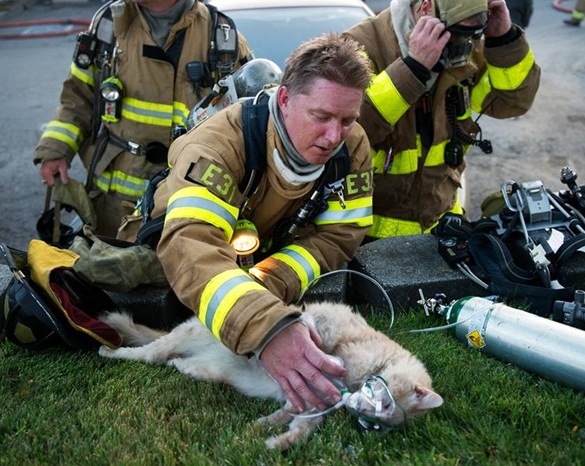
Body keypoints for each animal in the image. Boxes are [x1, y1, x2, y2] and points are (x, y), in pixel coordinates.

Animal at [99, 302, 442, 452]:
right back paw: (111, 351)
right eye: (383, 403)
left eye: (373, 425)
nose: (356, 409)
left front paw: (271, 436)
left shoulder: (313, 399)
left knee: (177, 362)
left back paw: (187, 368)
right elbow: (309, 327)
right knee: (148, 353)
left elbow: (298, 425)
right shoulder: (328, 327)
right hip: (181, 337)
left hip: (204, 365)